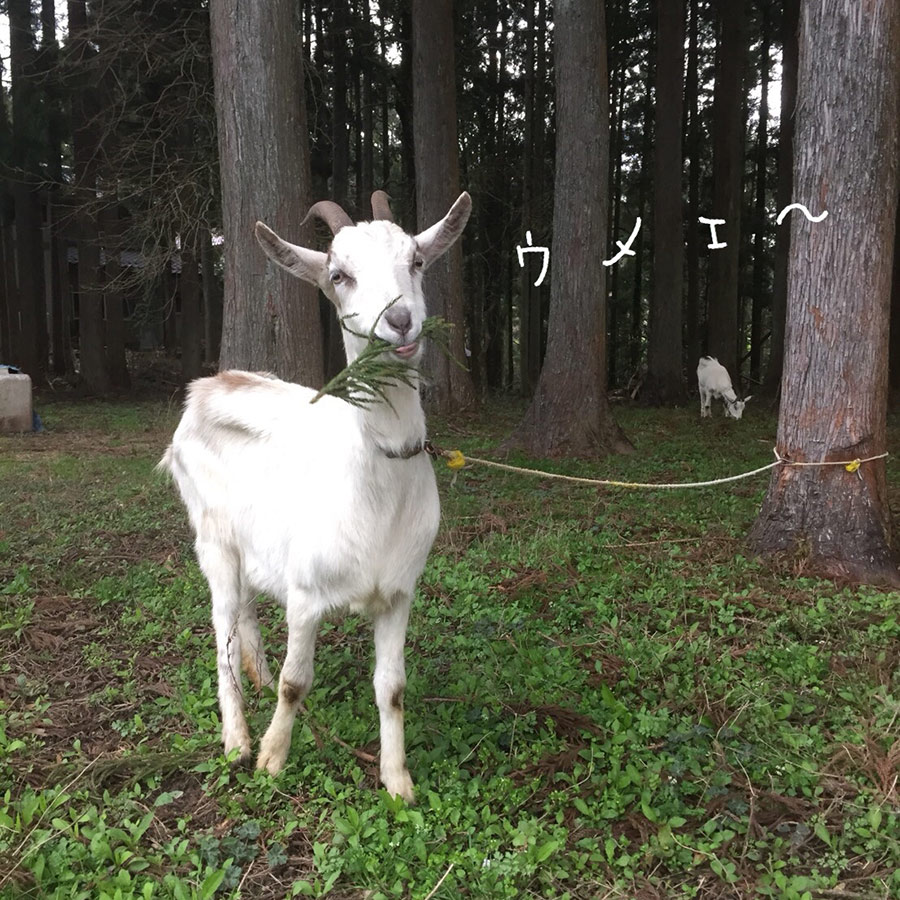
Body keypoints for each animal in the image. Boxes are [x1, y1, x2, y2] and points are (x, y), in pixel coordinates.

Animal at [159, 190, 472, 801]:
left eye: (416, 260)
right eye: (339, 275)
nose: (401, 321)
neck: (376, 487)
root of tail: (206, 386)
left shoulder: (399, 592)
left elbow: (392, 686)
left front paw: (398, 781)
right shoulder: (305, 593)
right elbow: (295, 681)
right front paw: (271, 760)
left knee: (245, 612)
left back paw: (254, 676)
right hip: (212, 538)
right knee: (221, 630)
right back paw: (237, 738)